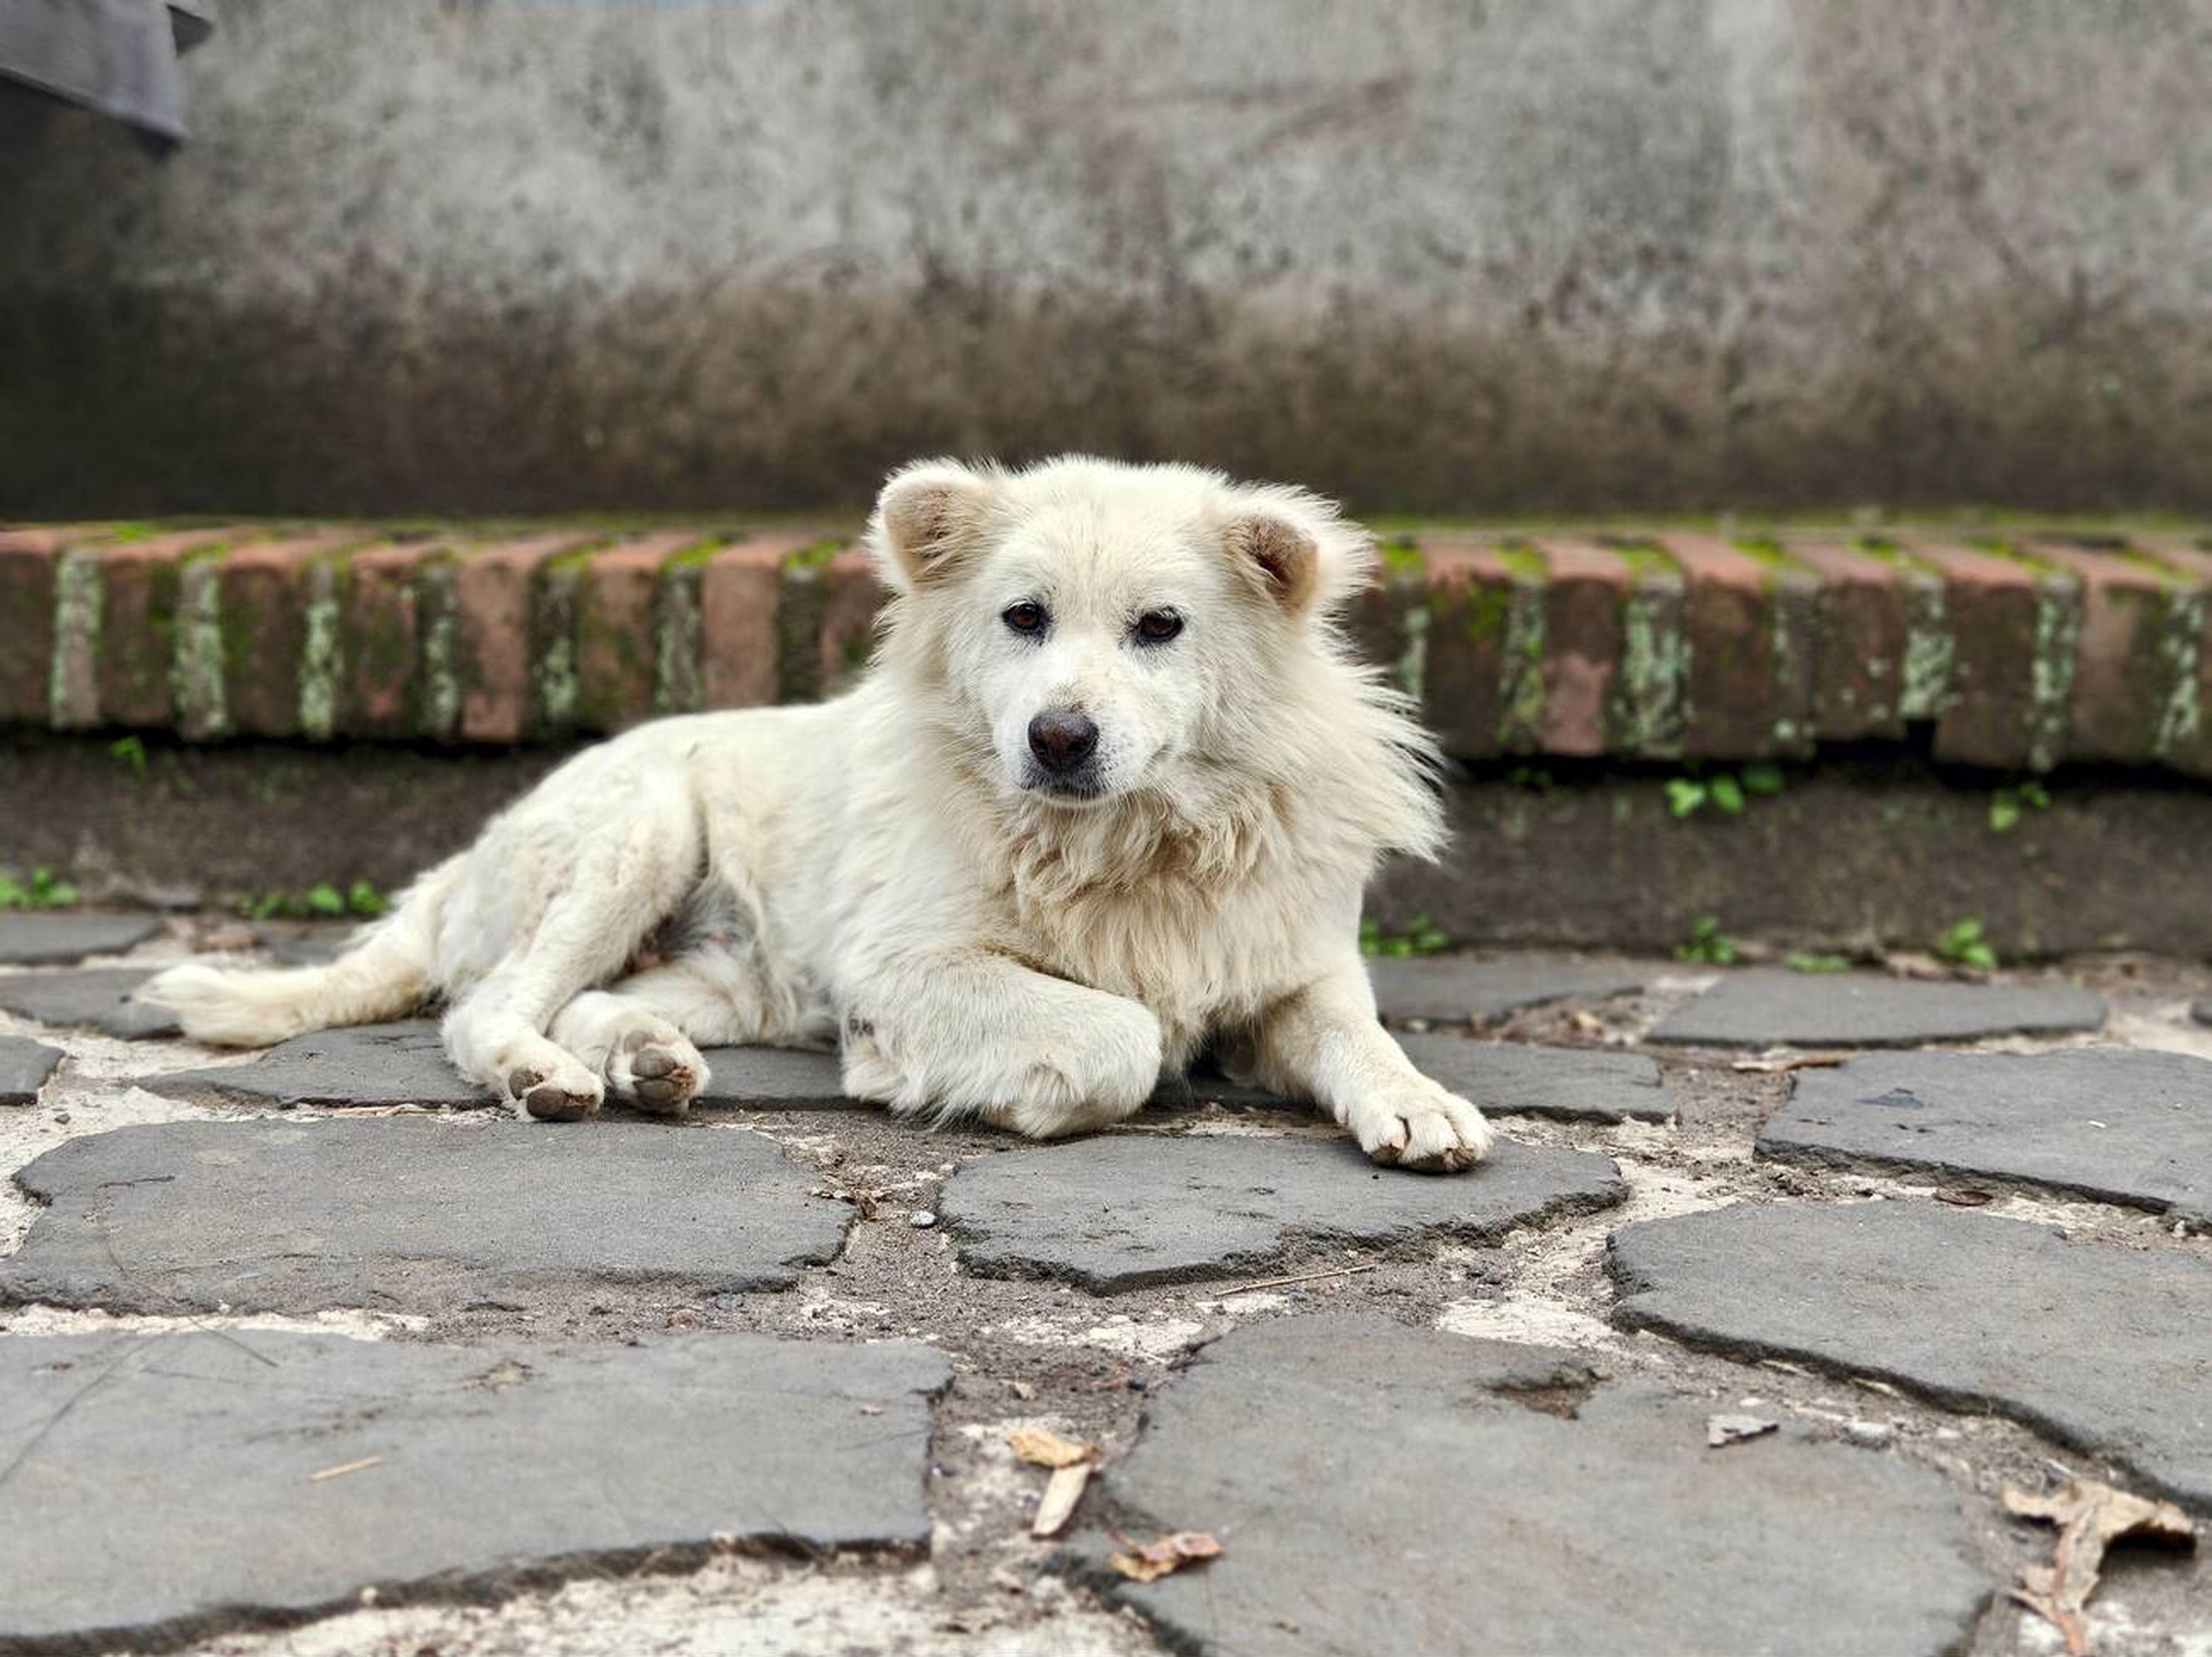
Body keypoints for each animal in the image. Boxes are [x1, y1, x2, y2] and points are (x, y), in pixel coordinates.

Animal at [146, 458, 1495, 1168]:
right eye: (1023, 618)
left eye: (1160, 627)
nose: (1058, 739)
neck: (1121, 846)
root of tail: (459, 866)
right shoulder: (903, 968)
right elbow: (1116, 1035)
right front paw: (992, 1084)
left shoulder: (1293, 964)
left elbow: (1356, 1034)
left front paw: (1418, 1100)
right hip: (638, 832)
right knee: (490, 1009)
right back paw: (550, 1078)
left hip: (733, 977)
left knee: (588, 1001)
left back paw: (647, 1062)